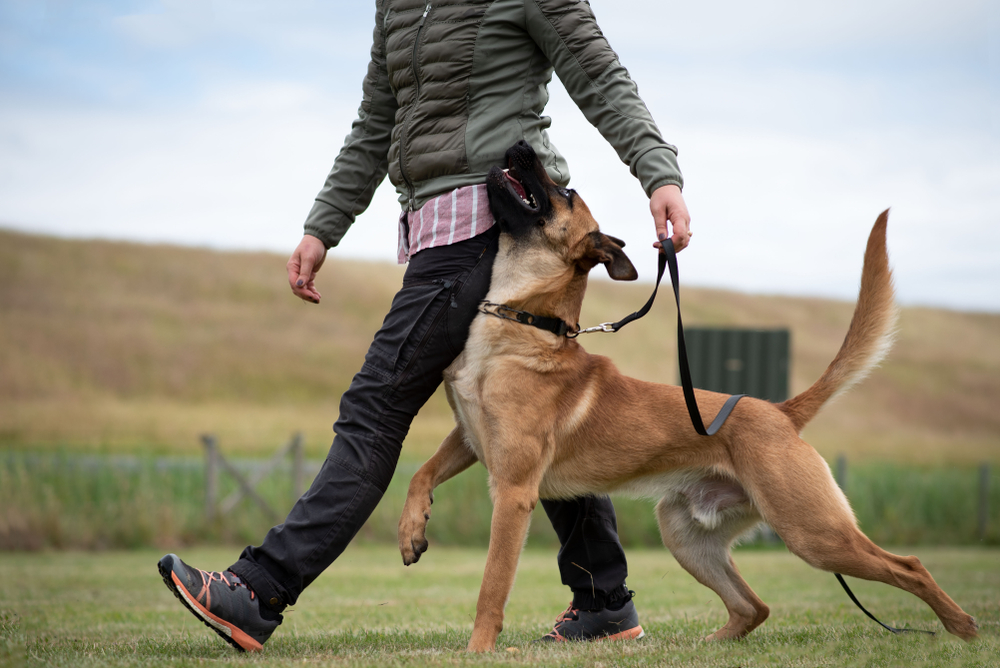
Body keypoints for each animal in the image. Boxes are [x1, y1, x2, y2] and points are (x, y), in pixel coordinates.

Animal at [396, 141, 976, 652]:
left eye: (564, 191)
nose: (518, 145)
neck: (524, 321)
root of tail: (779, 412)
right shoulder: (469, 438)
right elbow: (421, 472)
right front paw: (410, 530)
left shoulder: (514, 490)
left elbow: (491, 588)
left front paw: (478, 649)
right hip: (685, 535)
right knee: (754, 606)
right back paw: (709, 642)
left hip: (814, 533)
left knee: (909, 566)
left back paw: (963, 627)